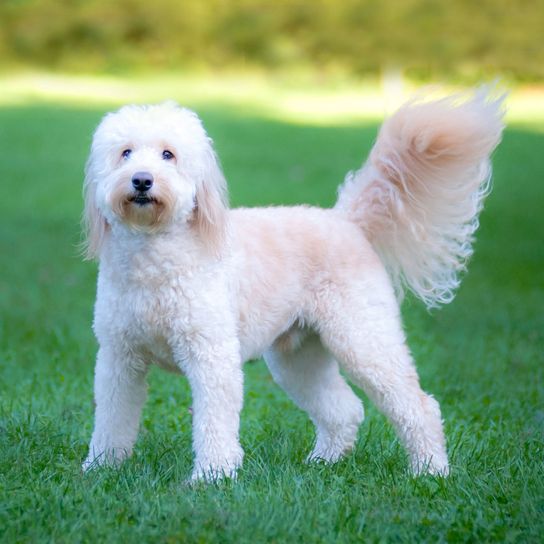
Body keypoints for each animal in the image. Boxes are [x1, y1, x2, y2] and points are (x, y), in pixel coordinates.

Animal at [82, 89, 506, 480]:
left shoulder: (210, 355)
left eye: (168, 154)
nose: (141, 180)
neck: (154, 258)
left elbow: (214, 420)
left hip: (364, 339)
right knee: (345, 409)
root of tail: (347, 221)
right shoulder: (119, 358)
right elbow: (112, 418)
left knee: (419, 406)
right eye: (125, 153)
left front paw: (212, 475)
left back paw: (430, 470)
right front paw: (100, 467)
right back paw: (325, 461)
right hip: (299, 357)